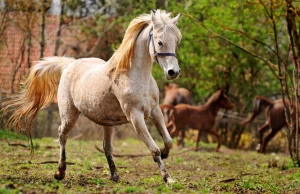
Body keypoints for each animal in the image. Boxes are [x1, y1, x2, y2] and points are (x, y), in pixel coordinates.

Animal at [2, 10, 180, 183]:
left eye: (176, 41)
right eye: (160, 42)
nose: (173, 72)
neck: (134, 76)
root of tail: (69, 65)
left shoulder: (155, 111)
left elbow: (169, 141)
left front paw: (165, 154)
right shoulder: (135, 116)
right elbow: (154, 149)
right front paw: (168, 178)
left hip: (108, 123)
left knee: (106, 147)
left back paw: (115, 176)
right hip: (69, 116)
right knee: (62, 135)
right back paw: (60, 172)